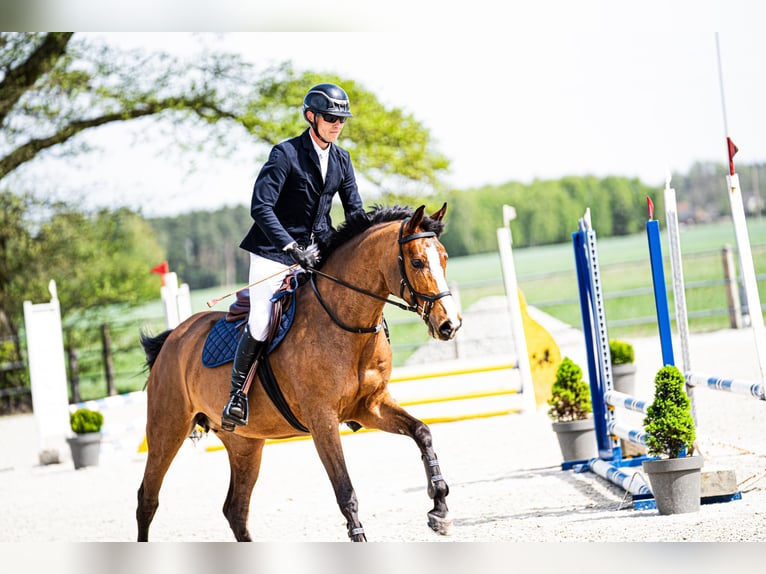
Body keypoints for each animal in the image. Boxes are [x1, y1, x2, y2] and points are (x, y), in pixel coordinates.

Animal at [136, 203, 462, 542]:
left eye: (444, 258)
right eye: (417, 262)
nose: (449, 325)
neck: (345, 322)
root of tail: (174, 337)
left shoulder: (370, 407)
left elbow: (422, 433)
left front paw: (439, 509)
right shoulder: (322, 420)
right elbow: (345, 489)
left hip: (244, 443)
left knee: (235, 510)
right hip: (167, 429)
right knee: (147, 500)